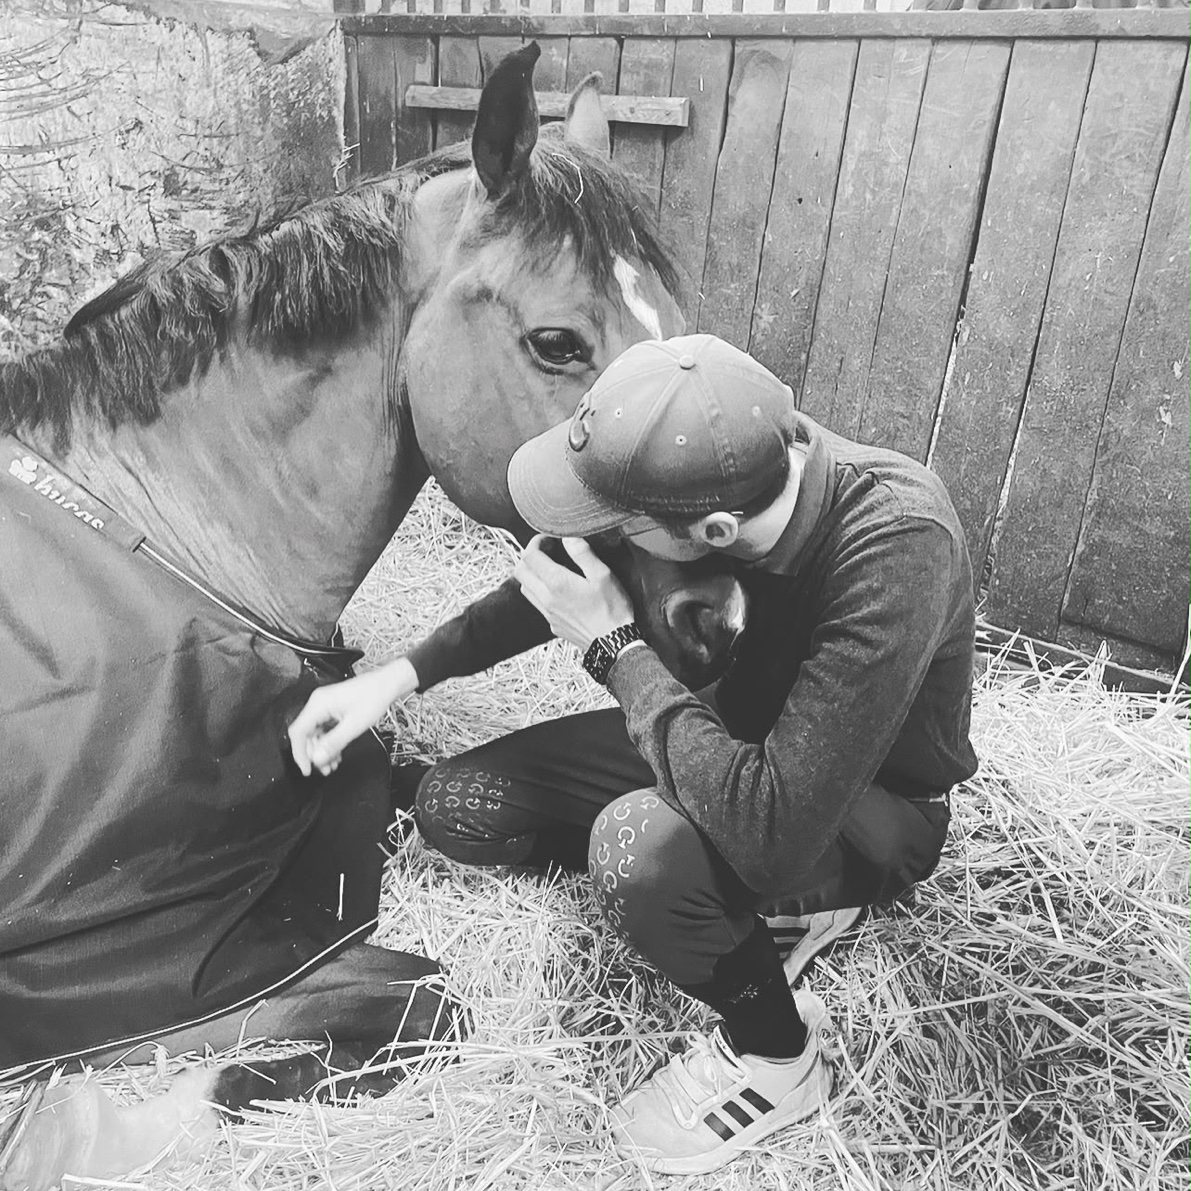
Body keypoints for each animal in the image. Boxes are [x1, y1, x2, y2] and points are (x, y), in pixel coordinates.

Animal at [0, 43, 746, 1190]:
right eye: (557, 342)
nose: (719, 611)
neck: (176, 542)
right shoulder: (166, 973)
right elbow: (427, 1002)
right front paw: (138, 1121)